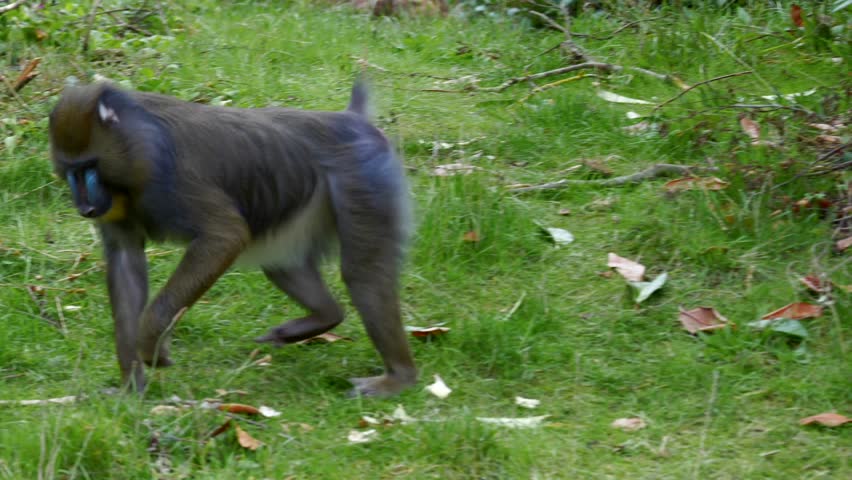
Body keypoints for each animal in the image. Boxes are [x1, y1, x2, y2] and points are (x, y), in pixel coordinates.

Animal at [48, 79, 417, 397]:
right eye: (72, 170)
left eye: (90, 168)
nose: (84, 205)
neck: (135, 144)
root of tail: (352, 120)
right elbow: (126, 264)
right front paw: (130, 385)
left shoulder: (172, 185)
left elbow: (225, 235)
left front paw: (153, 344)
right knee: (284, 266)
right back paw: (324, 318)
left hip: (364, 184)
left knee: (364, 275)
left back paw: (398, 378)